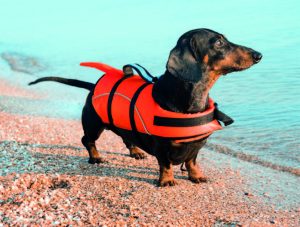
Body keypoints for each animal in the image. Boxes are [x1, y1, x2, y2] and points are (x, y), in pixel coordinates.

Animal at [29, 28, 262, 186]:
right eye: (218, 42)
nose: (258, 55)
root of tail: (93, 85)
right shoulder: (161, 146)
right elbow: (165, 164)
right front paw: (166, 181)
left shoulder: (196, 145)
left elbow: (192, 161)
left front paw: (196, 176)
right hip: (94, 124)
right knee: (87, 140)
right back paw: (95, 157)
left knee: (127, 138)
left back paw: (136, 151)